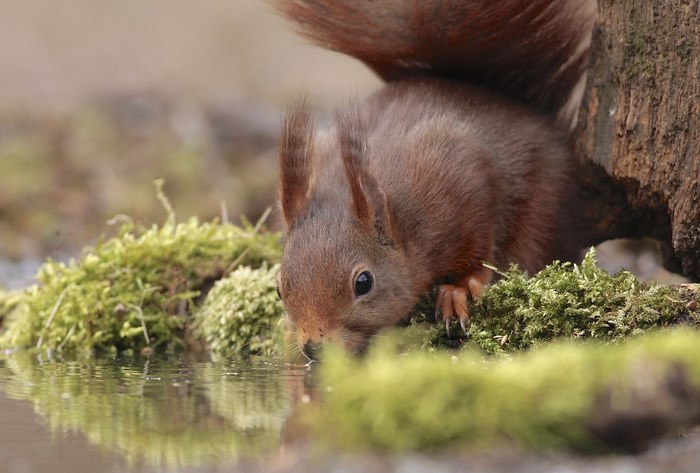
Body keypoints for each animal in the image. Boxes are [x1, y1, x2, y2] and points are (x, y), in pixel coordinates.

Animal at [272, 0, 597, 360]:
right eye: (279, 288)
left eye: (363, 283)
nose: (313, 348)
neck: (400, 222)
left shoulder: (460, 182)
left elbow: (479, 250)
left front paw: (459, 289)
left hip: (544, 214)